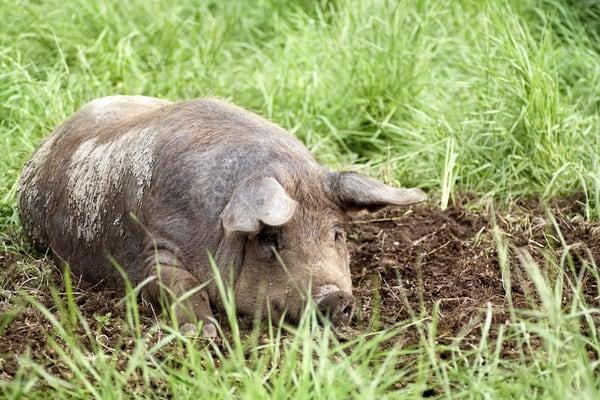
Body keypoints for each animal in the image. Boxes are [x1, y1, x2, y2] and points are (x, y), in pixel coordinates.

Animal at [16, 95, 424, 336]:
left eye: (337, 233)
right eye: (270, 239)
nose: (334, 297)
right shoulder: (155, 247)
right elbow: (178, 285)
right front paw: (206, 334)